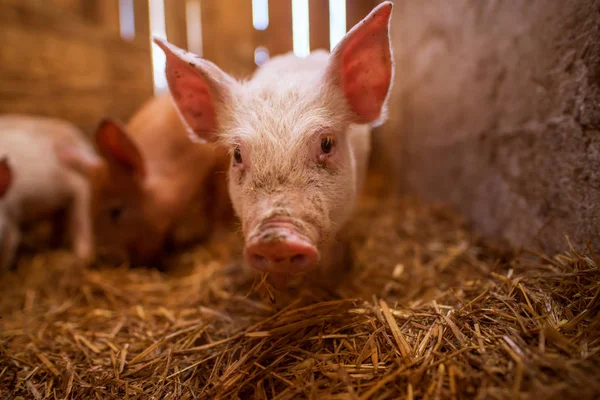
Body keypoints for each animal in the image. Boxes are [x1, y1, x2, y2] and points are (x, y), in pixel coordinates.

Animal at [0, 115, 95, 272]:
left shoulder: (10, 220)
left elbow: (10, 246)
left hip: (77, 182)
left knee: (81, 214)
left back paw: (81, 260)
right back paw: (52, 246)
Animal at [58, 94, 232, 268]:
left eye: (116, 211)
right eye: (90, 209)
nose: (99, 260)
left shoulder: (218, 165)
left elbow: (216, 207)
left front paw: (218, 239)